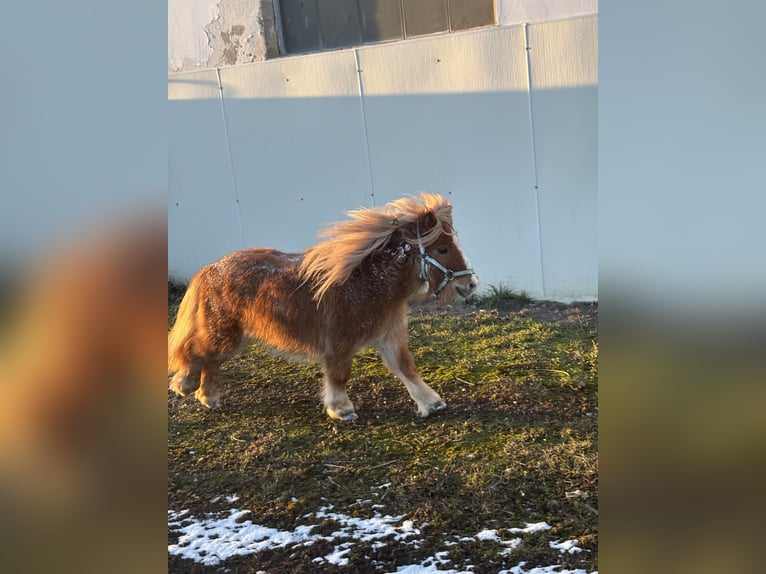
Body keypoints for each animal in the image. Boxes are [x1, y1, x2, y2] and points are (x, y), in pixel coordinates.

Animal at [168, 193, 478, 421]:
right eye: (442, 249)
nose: (470, 284)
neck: (369, 282)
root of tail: (209, 269)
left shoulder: (390, 336)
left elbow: (406, 368)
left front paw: (431, 403)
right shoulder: (339, 343)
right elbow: (339, 375)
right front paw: (341, 410)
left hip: (238, 336)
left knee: (211, 360)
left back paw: (208, 396)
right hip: (225, 333)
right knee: (198, 351)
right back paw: (188, 386)